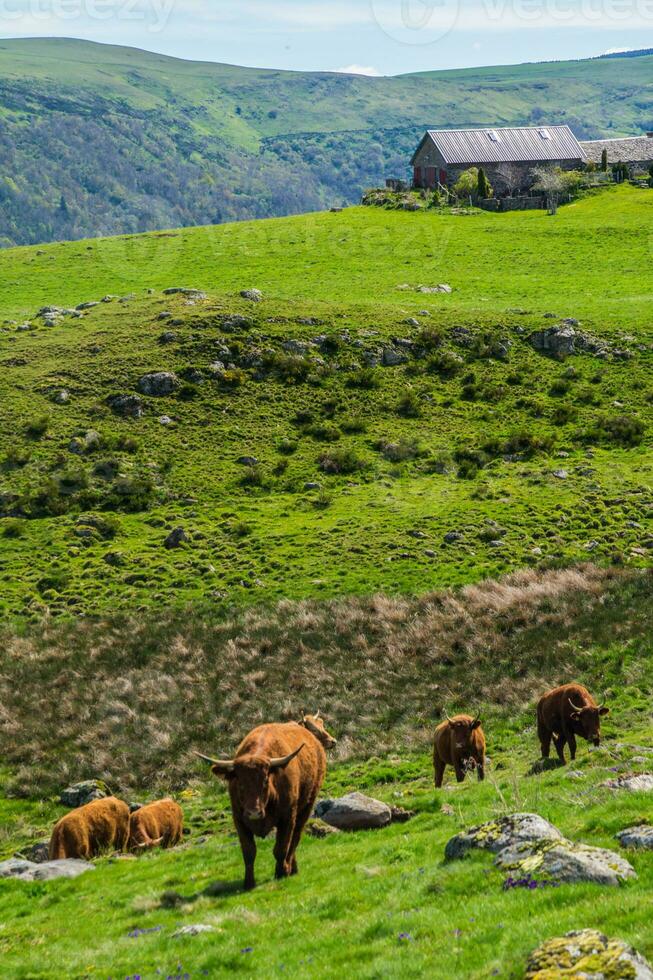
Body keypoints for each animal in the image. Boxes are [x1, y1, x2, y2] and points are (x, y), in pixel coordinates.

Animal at [195, 712, 336, 888]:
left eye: (265, 781)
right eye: (240, 783)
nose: (254, 813)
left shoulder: (287, 817)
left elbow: (281, 848)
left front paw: (281, 873)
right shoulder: (239, 819)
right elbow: (249, 852)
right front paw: (249, 883)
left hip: (306, 806)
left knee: (295, 838)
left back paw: (290, 868)